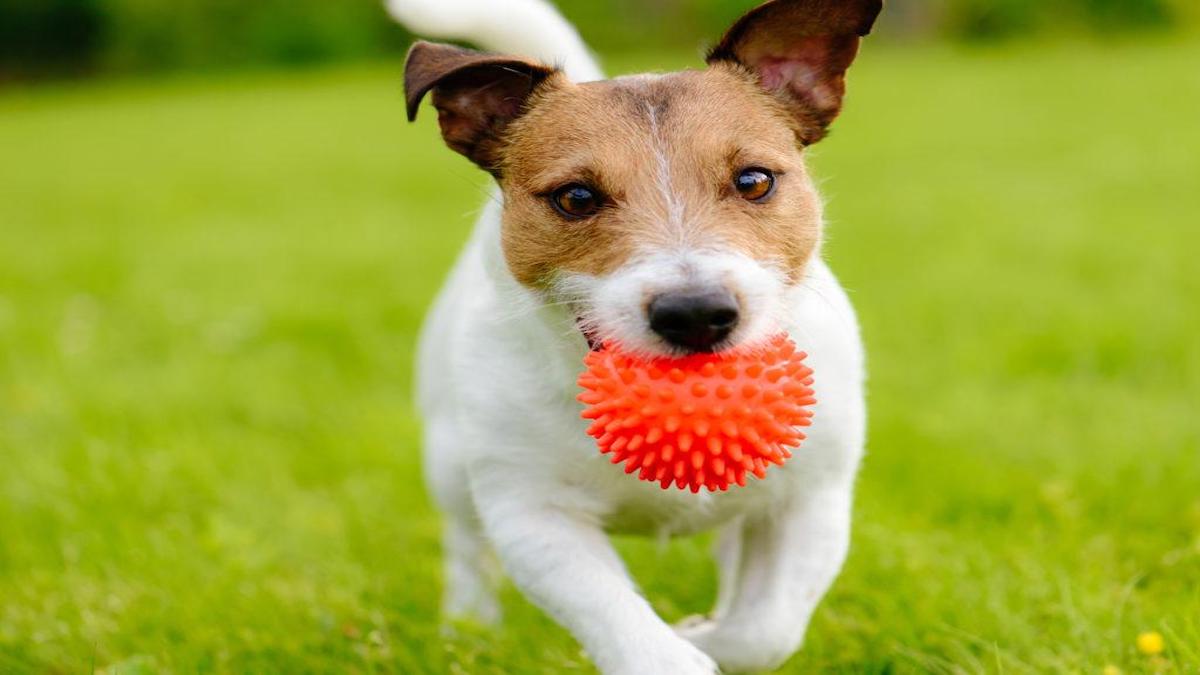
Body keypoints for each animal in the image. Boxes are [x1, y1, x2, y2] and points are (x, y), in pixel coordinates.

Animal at [391, 1, 883, 667]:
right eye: (575, 197)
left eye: (754, 180)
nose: (695, 313)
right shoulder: (532, 513)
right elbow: (618, 618)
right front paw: (677, 651)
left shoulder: (809, 500)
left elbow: (765, 629)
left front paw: (703, 634)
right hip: (448, 460)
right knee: (466, 546)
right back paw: (469, 627)